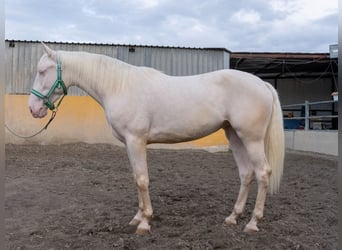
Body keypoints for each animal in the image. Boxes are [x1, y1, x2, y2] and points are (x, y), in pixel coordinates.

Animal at [29, 43, 284, 234]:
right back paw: (232, 217)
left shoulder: (136, 141)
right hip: (235, 136)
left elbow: (142, 179)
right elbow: (136, 178)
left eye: (42, 71)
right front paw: (137, 216)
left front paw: (145, 222)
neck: (119, 86)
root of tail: (261, 83)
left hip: (251, 139)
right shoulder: (129, 144)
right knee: (246, 174)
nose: (33, 109)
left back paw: (252, 223)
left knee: (262, 173)